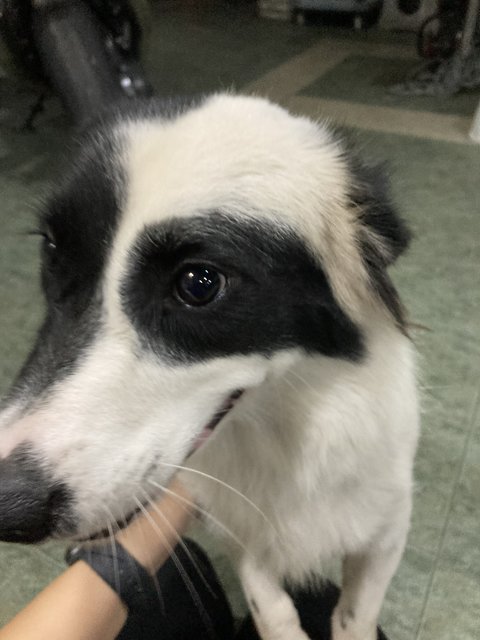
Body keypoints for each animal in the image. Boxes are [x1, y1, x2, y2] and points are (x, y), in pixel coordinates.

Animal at [0, 95, 416, 640]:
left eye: (200, 283)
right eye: (52, 248)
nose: (7, 503)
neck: (286, 437)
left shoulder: (386, 532)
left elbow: (355, 615)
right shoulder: (243, 531)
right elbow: (272, 607)